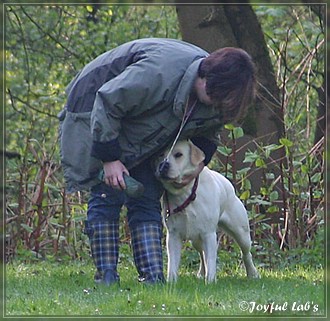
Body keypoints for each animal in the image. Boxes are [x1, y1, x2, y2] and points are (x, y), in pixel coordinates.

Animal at [155, 139, 260, 282]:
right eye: (160, 154)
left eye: (178, 154)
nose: (163, 165)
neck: (187, 193)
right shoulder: (173, 235)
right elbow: (173, 263)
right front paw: (171, 282)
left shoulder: (209, 234)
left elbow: (210, 260)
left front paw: (210, 280)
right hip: (195, 239)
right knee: (201, 253)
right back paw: (201, 273)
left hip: (241, 232)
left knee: (246, 253)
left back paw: (252, 273)